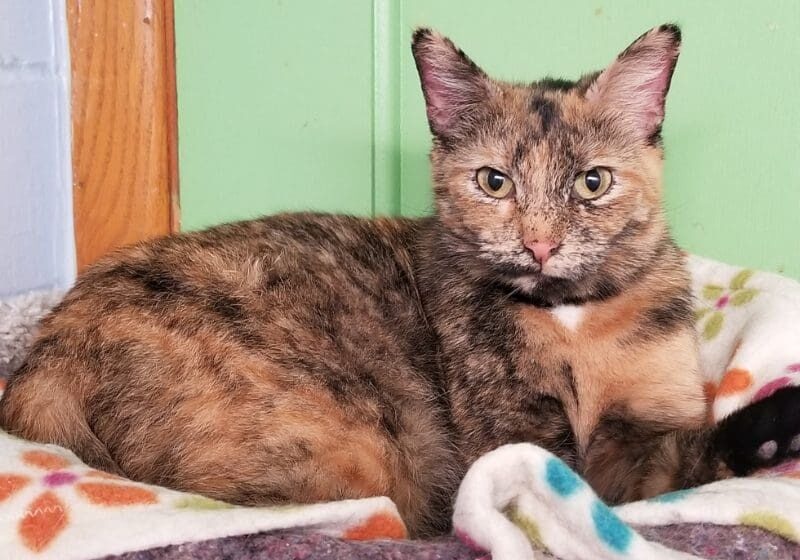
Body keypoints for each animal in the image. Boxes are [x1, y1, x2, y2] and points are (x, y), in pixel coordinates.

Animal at [1, 24, 800, 536]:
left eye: (592, 182)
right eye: (493, 181)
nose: (539, 244)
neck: (574, 319)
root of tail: (46, 356)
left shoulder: (649, 423)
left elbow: (680, 455)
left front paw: (774, 429)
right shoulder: (523, 445)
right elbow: (607, 486)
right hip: (338, 447)